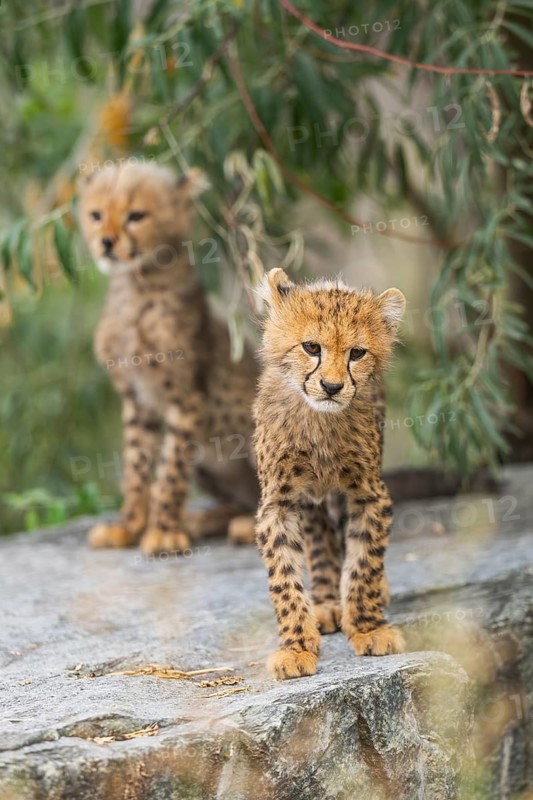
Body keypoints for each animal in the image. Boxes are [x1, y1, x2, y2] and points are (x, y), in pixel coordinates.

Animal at [78, 161, 258, 554]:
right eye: (96, 215)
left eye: (136, 216)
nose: (107, 242)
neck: (136, 287)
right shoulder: (137, 399)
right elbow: (137, 465)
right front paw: (129, 526)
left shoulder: (187, 399)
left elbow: (170, 471)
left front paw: (161, 531)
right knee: (239, 500)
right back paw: (203, 519)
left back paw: (251, 526)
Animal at [253, 268, 406, 680]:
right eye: (311, 347)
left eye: (357, 353)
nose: (332, 386)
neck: (319, 422)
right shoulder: (279, 502)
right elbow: (284, 578)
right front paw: (296, 647)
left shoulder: (370, 494)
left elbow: (365, 563)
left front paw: (368, 627)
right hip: (310, 502)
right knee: (319, 543)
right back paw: (324, 603)